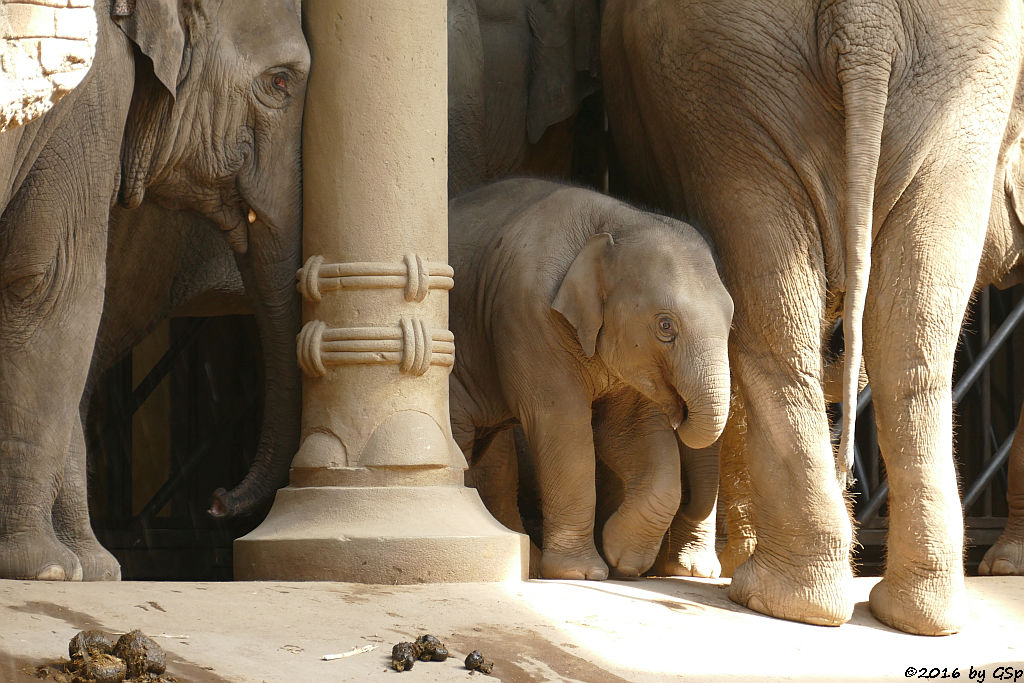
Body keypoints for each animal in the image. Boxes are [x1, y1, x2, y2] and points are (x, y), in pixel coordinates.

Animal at [0, 0, 307, 581]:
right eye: (280, 82)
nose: (215, 501)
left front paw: (95, 570)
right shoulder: (89, 97)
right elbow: (56, 289)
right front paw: (48, 568)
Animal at [452, 179, 733, 581]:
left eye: (731, 322)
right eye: (665, 326)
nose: (678, 410)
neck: (618, 221)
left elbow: (630, 433)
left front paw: (623, 558)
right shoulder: (528, 316)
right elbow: (564, 427)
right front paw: (583, 573)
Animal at [602, 0, 1019, 634]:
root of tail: (865, 23)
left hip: (731, 89)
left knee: (782, 333)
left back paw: (777, 597)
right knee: (902, 346)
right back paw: (898, 613)